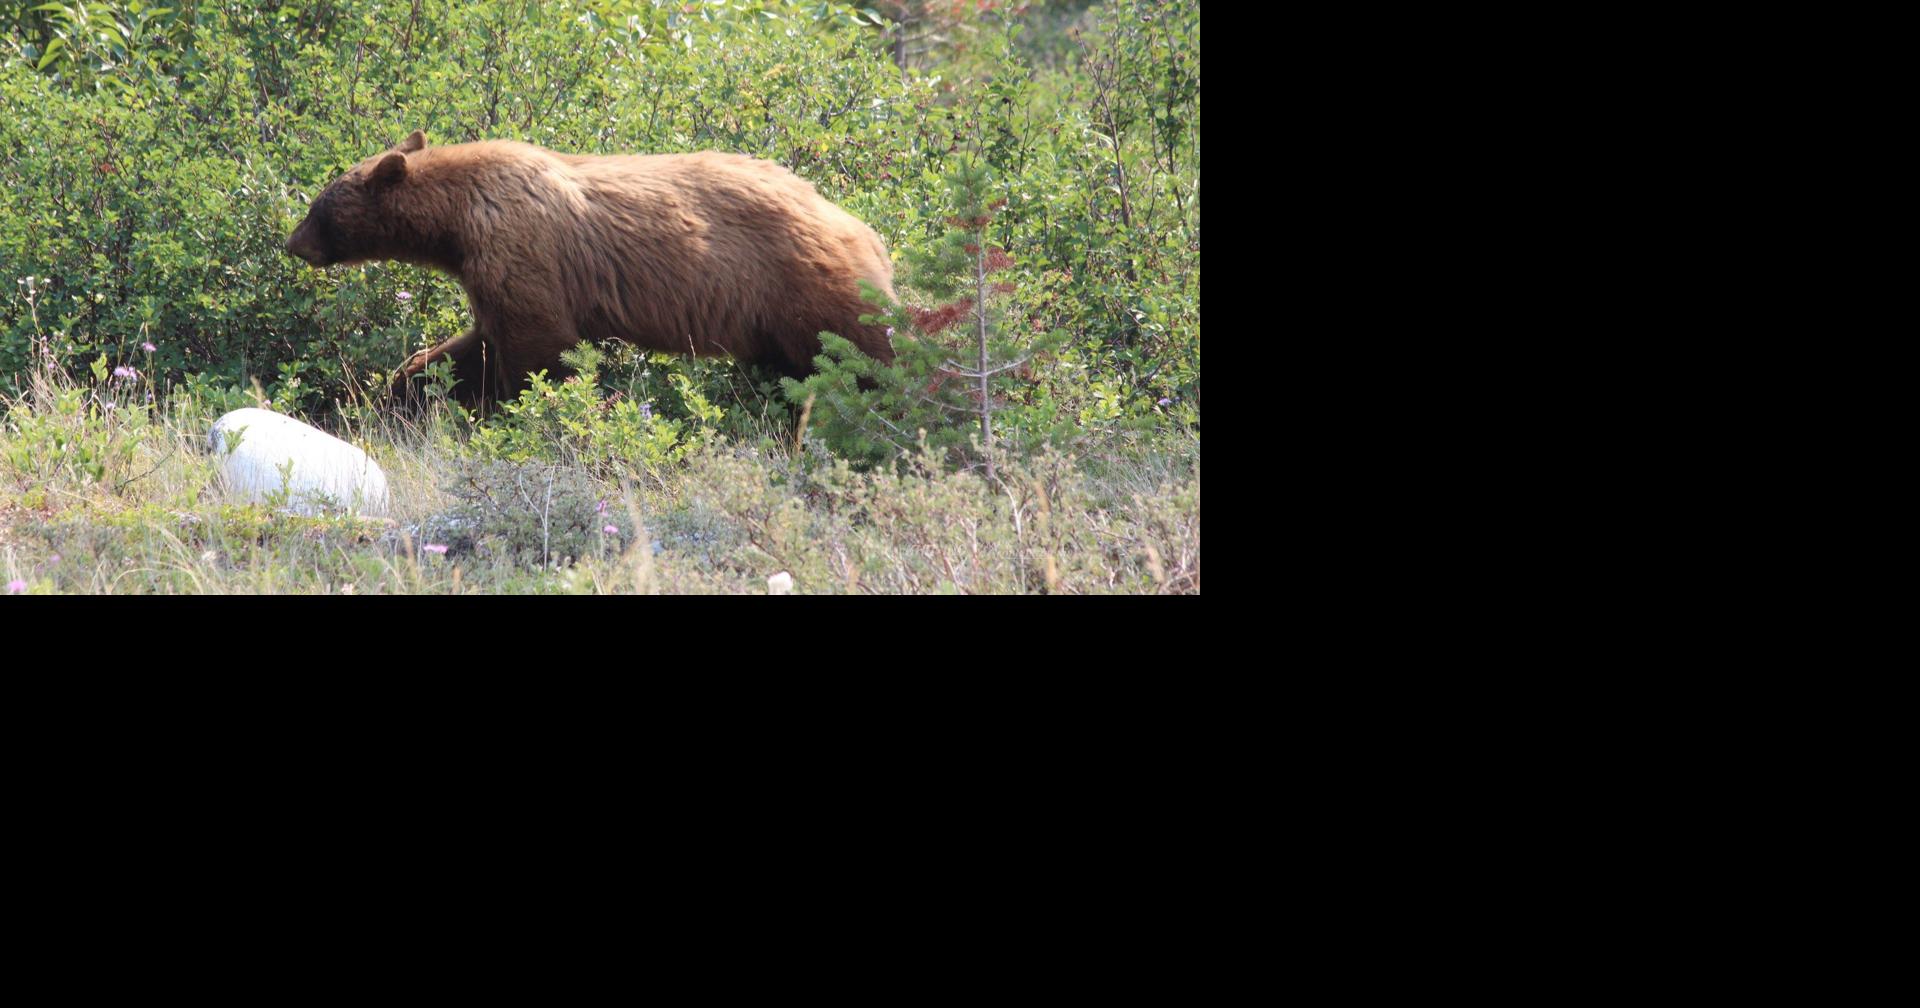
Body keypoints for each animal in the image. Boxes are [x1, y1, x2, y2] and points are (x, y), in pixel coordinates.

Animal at [284, 131, 898, 407]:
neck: (457, 221)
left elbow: (539, 346)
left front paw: (536, 406)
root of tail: (866, 230)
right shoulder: (488, 272)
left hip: (803, 285)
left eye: (318, 207)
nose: (293, 244)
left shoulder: (520, 247)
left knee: (866, 352)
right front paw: (404, 389)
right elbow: (479, 346)